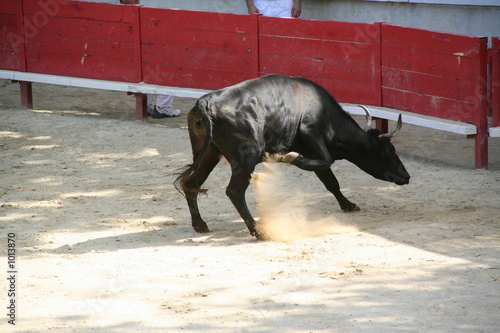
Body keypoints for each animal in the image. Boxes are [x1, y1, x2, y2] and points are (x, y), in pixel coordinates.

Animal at [176, 74, 410, 237]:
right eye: (390, 151)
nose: (406, 176)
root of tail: (205, 104)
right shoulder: (311, 133)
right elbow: (325, 162)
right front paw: (288, 157)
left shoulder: (313, 149)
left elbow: (330, 180)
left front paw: (348, 205)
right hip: (246, 156)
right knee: (234, 191)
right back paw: (259, 231)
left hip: (208, 153)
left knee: (191, 184)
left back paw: (200, 225)